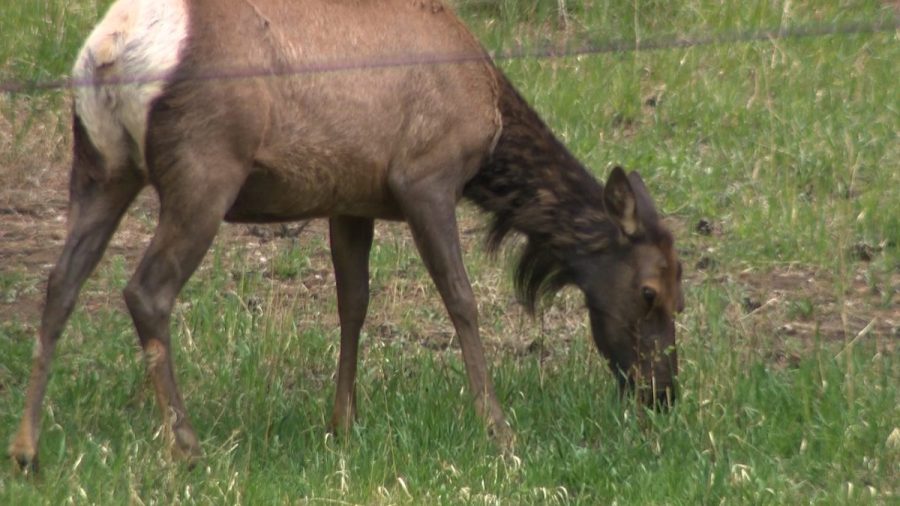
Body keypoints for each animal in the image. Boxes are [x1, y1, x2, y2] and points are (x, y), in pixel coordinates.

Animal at [9, 0, 683, 471]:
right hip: (205, 169)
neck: (489, 127)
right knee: (146, 290)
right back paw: (186, 445)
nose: (664, 392)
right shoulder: (424, 177)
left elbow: (352, 304)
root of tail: (109, 49)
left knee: (60, 282)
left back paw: (26, 449)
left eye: (682, 295)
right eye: (651, 292)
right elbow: (461, 301)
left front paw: (342, 425)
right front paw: (498, 429)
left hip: (101, 164)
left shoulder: (350, 200)